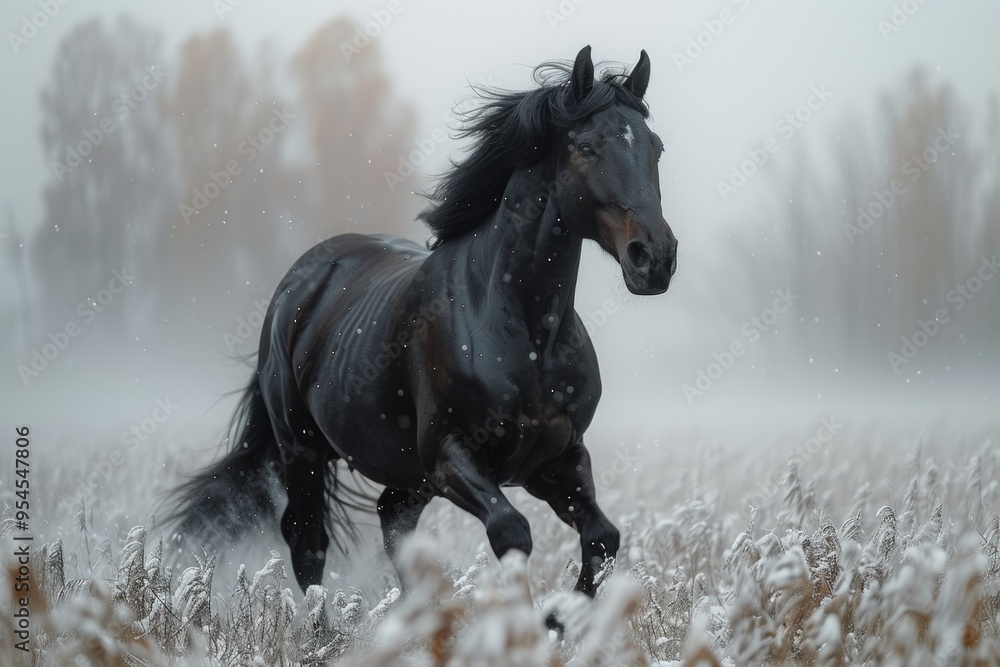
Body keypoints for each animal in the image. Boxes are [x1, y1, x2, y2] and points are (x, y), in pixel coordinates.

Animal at [166, 45, 677, 602]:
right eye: (586, 147)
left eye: (656, 147)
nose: (655, 257)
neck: (526, 333)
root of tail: (298, 285)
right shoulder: (452, 458)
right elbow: (512, 533)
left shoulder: (554, 460)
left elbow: (603, 537)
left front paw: (561, 615)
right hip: (302, 449)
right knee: (308, 543)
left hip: (405, 479)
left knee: (391, 521)